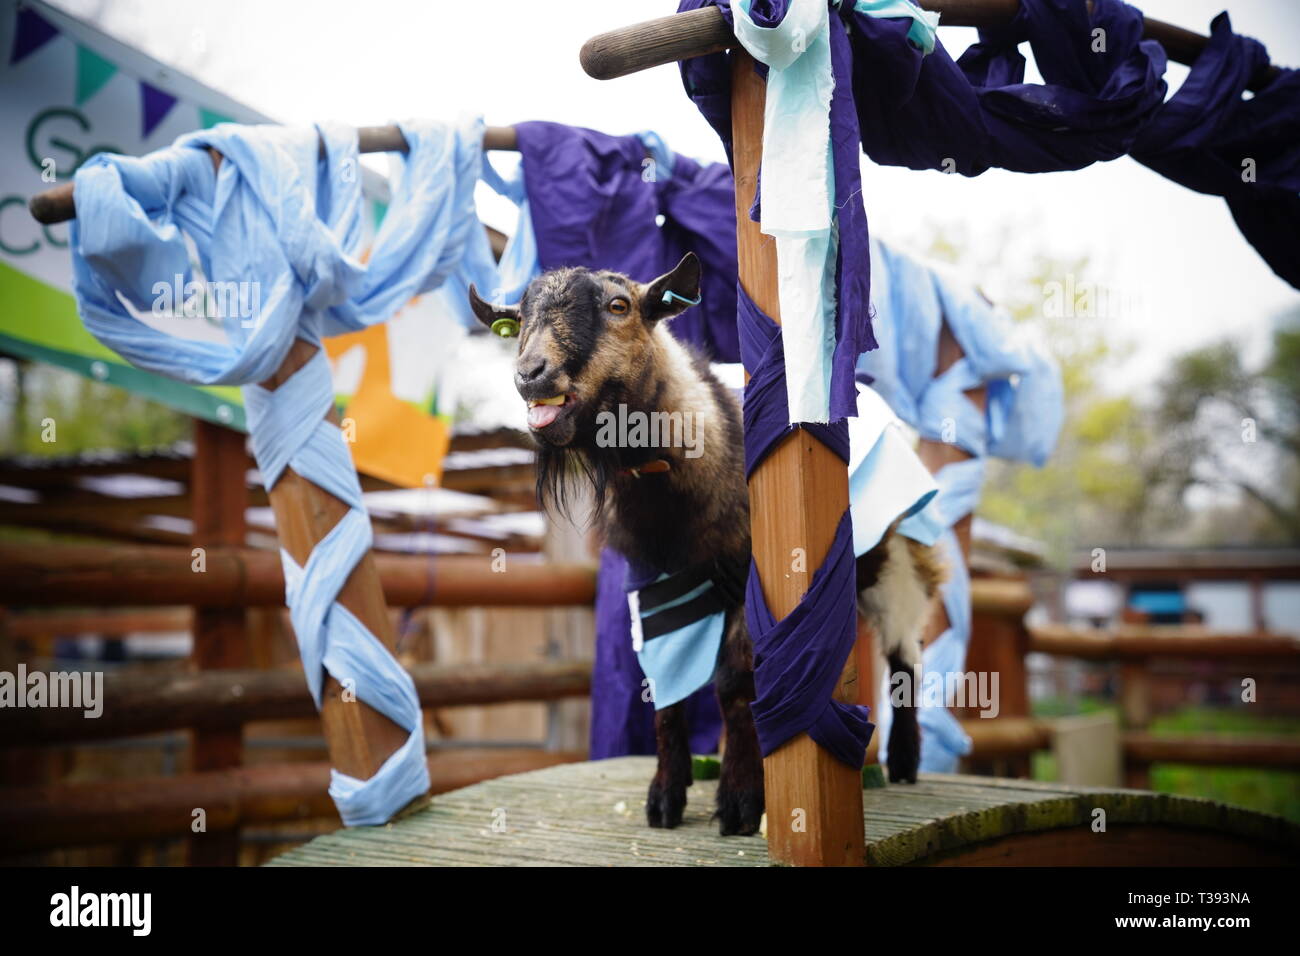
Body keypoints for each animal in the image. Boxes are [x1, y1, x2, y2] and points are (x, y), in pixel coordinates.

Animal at [473, 254, 941, 837]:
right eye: (516, 322)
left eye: (618, 306)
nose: (531, 375)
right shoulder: (655, 591)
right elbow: (665, 696)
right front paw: (665, 798)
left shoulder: (750, 578)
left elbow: (734, 682)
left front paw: (740, 802)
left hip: (896, 554)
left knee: (906, 651)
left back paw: (902, 762)